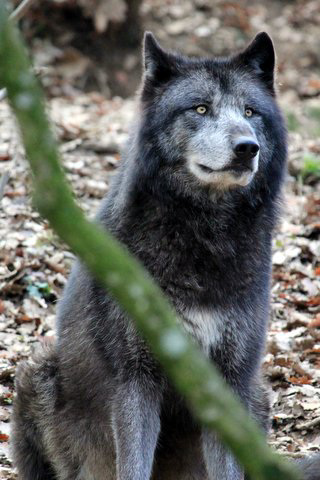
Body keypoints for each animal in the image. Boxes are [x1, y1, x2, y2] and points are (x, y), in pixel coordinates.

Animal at [11, 31, 318, 478]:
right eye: (201, 108)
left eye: (250, 111)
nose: (247, 147)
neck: (203, 240)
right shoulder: (135, 378)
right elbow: (133, 464)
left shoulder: (231, 381)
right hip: (35, 369)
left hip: (258, 394)